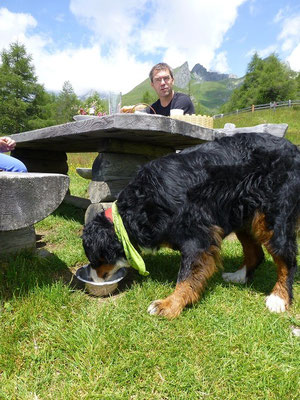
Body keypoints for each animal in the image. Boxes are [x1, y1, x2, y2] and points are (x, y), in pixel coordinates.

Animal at [82, 133, 300, 318]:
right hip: (242, 214)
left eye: (96, 260)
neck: (141, 205)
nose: (92, 277)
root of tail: (294, 149)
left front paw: (170, 304)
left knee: (287, 260)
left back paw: (279, 298)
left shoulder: (197, 236)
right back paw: (239, 276)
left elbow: (186, 276)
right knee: (256, 252)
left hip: (272, 219)